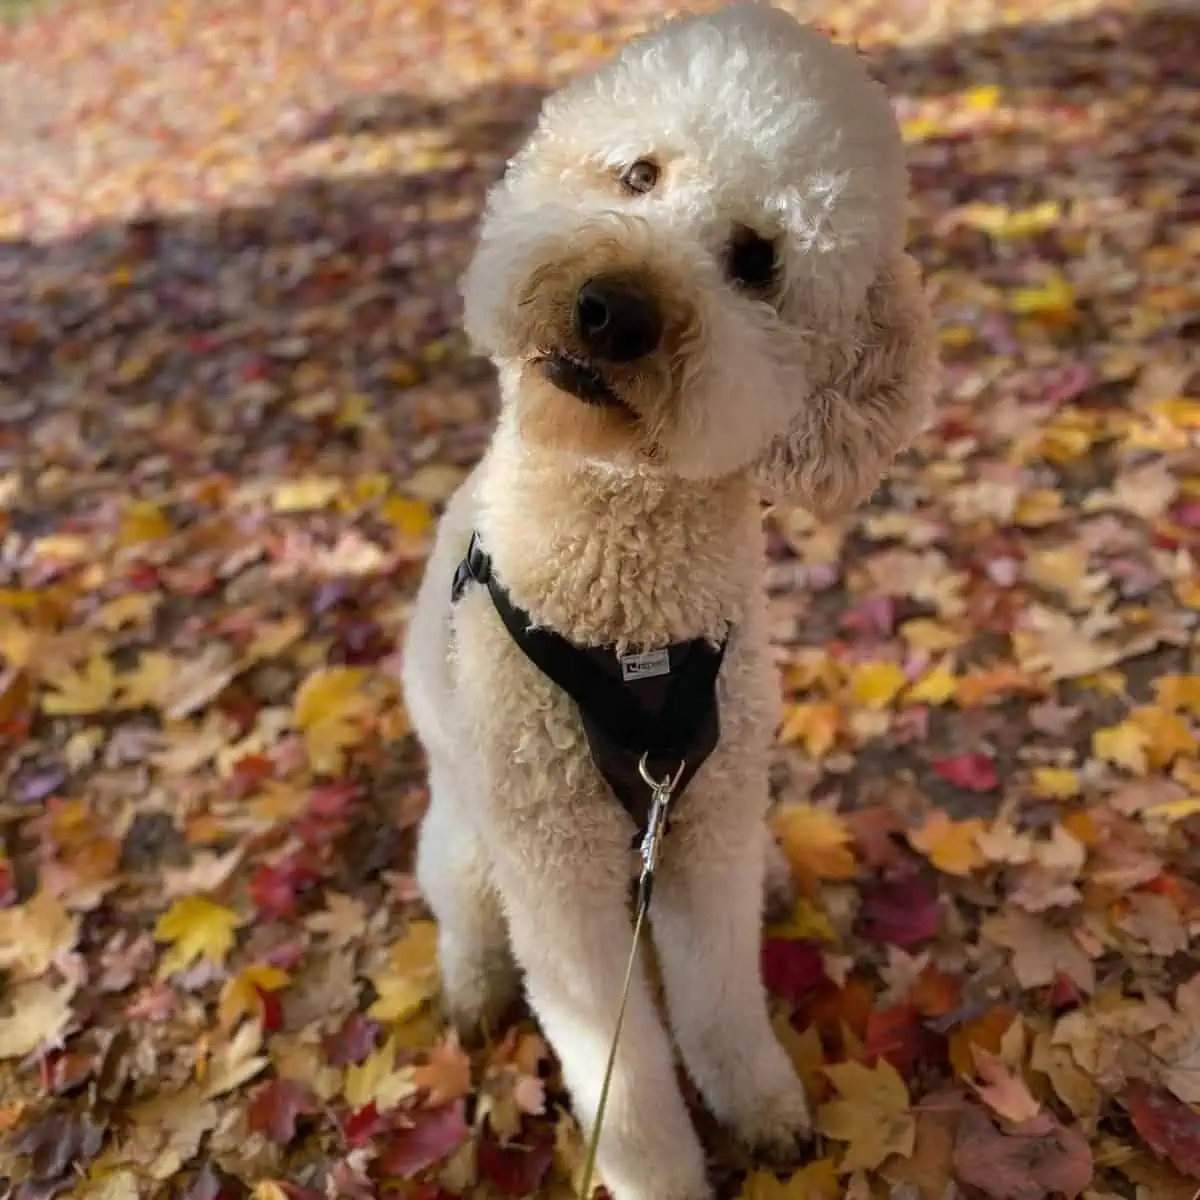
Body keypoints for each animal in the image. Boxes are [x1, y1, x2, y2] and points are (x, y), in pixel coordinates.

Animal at [403, 4, 936, 1195]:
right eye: (637, 174)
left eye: (757, 260)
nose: (613, 310)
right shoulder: (557, 876)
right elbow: (621, 1073)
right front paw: (660, 1174)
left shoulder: (703, 828)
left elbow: (723, 997)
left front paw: (760, 1107)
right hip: (470, 843)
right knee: (462, 921)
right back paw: (471, 991)